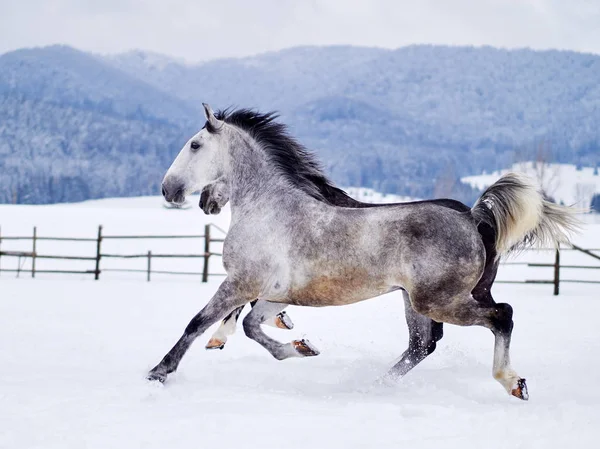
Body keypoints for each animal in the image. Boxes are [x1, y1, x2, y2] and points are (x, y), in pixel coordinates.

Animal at [148, 105, 580, 400]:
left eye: (195, 145)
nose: (170, 190)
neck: (268, 208)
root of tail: (472, 217)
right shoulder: (274, 293)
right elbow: (253, 326)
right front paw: (302, 348)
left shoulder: (240, 283)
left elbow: (198, 323)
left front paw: (159, 372)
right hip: (419, 302)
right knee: (422, 345)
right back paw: (373, 387)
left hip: (439, 300)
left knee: (501, 315)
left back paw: (513, 383)